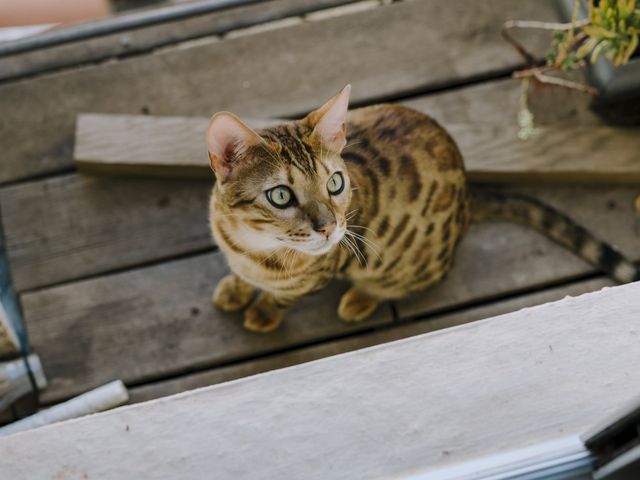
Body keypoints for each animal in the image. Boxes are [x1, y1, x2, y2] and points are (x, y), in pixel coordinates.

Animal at [208, 84, 636, 332]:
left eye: (335, 183)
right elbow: (245, 278)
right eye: (281, 196)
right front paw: (235, 289)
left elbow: (282, 296)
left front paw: (264, 312)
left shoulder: (316, 275)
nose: (329, 228)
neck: (253, 246)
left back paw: (360, 299)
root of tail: (467, 199)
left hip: (406, 264)